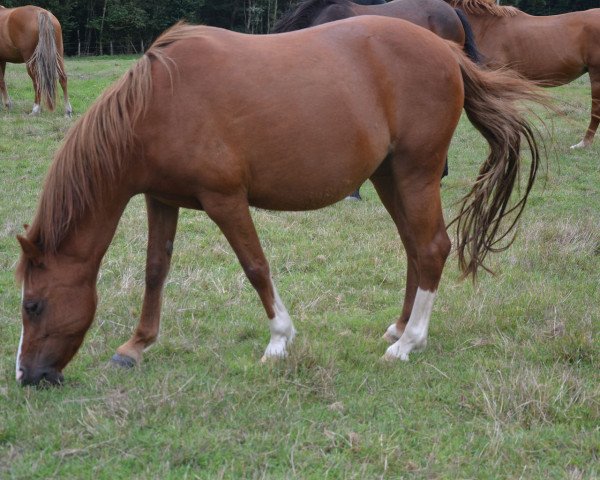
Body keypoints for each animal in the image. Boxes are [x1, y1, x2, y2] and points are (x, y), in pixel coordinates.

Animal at [15, 17, 544, 386]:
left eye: (33, 306)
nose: (26, 376)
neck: (159, 102)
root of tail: (448, 51)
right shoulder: (161, 198)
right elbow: (155, 270)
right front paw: (136, 346)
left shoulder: (224, 199)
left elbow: (255, 266)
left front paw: (279, 340)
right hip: (388, 176)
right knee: (416, 246)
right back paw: (399, 328)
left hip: (416, 173)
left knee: (432, 247)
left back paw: (408, 343)